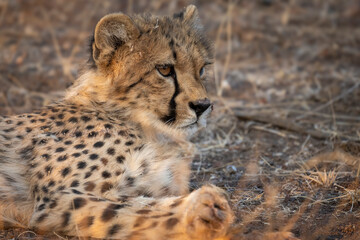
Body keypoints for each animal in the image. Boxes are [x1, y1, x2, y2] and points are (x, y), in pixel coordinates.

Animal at [0, 4, 233, 239]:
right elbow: (131, 208)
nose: (203, 106)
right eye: (165, 69)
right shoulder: (55, 199)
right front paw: (204, 207)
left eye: (201, 69)